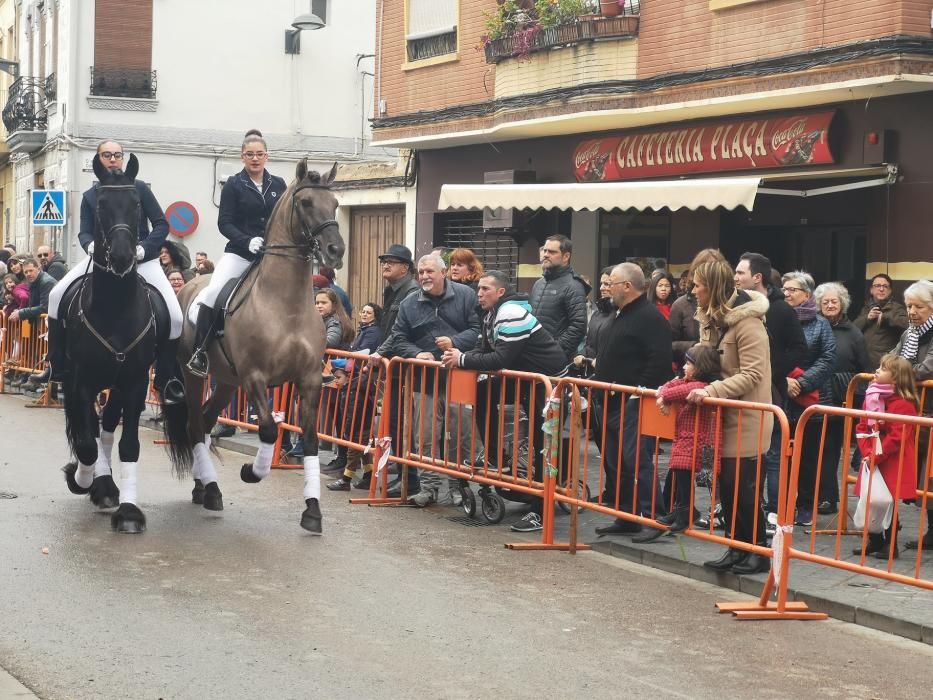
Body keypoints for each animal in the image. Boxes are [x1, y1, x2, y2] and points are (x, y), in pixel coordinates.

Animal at [61, 156, 193, 532]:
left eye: (136, 204)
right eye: (101, 205)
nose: (121, 257)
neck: (115, 309)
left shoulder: (134, 383)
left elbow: (128, 445)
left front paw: (130, 512)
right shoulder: (82, 382)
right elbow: (86, 444)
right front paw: (82, 478)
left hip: (119, 385)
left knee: (106, 428)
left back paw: (107, 487)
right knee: (91, 431)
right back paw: (97, 483)